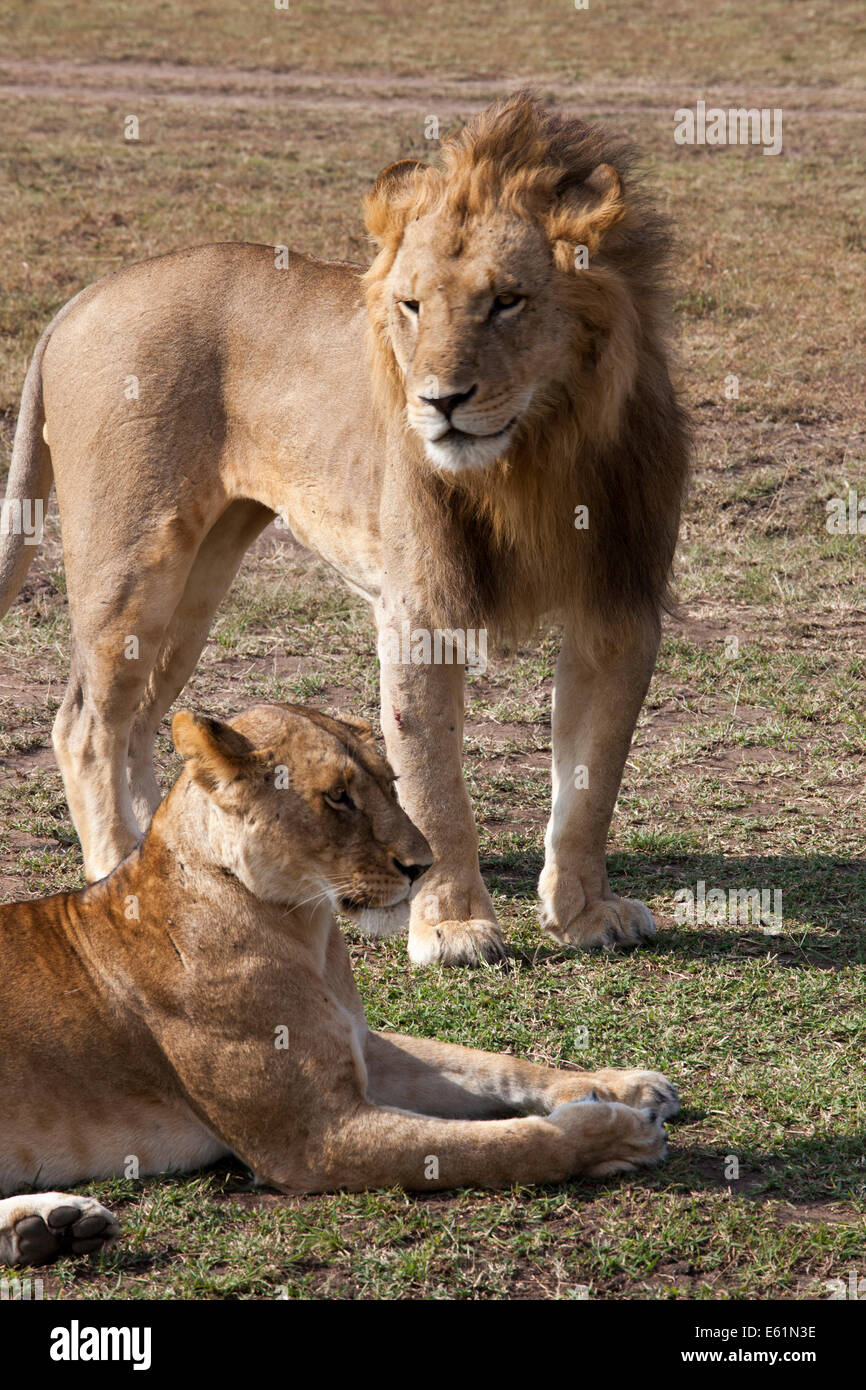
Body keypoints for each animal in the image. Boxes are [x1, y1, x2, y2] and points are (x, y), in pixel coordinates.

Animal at [0, 94, 689, 966]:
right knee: (85, 726)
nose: (440, 401)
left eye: (507, 300)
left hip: (201, 575)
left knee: (144, 717)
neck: (535, 455)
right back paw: (119, 866)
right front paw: (452, 927)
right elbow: (435, 782)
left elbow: (592, 781)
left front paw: (585, 914)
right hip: (132, 561)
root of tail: (82, 299)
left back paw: (167, 851)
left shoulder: (618, 608)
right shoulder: (419, 607)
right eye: (412, 304)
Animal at [0, 702, 678, 1267]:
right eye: (337, 798)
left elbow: (492, 1064)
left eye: (391, 783)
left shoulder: (362, 1048)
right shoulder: (314, 1139)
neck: (305, 929)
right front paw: (613, 1132)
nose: (422, 865)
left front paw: (621, 1085)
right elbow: (501, 1146)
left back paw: (51, 1228)